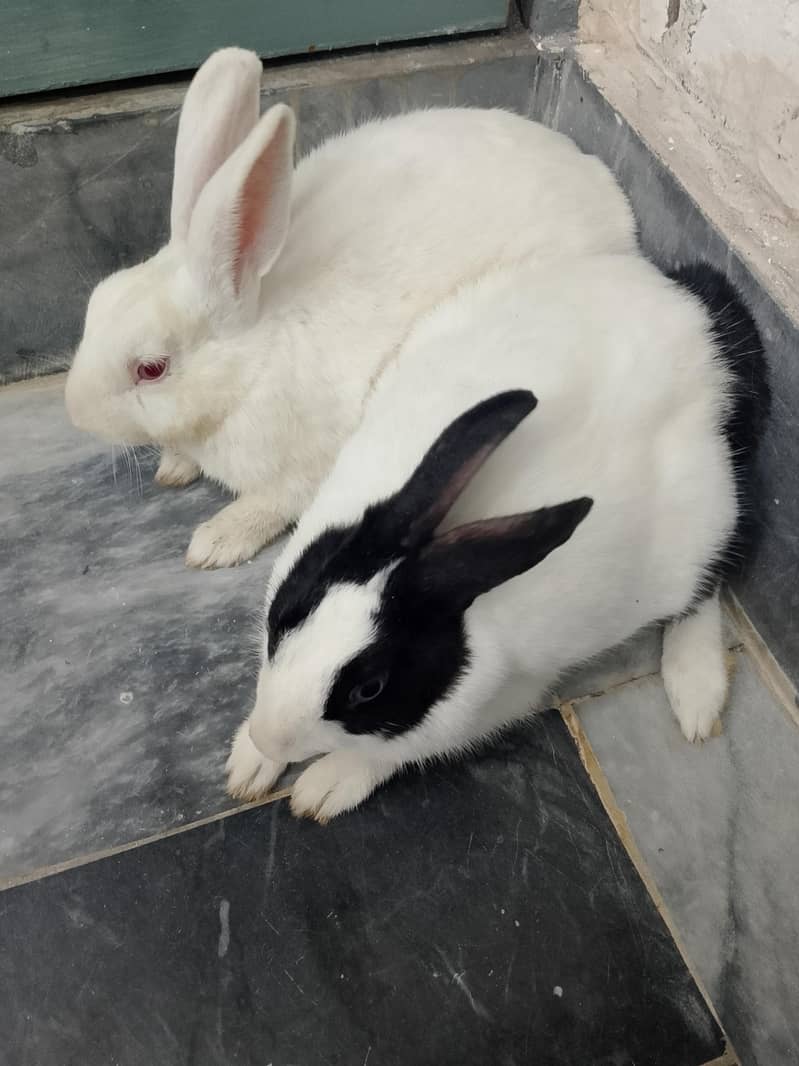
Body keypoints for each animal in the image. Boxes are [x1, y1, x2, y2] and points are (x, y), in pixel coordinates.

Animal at [64, 46, 638, 570]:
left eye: (151, 369)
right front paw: (174, 468)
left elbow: (271, 505)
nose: (76, 413)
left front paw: (214, 543)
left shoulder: (303, 469)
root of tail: (605, 188)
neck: (253, 363)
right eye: (96, 302)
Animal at [225, 253, 770, 822]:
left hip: (707, 520)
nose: (269, 738)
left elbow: (400, 750)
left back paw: (696, 693)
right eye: (284, 616)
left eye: (369, 690)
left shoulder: (503, 699)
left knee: (706, 587)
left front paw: (326, 785)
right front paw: (249, 762)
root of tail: (700, 322)